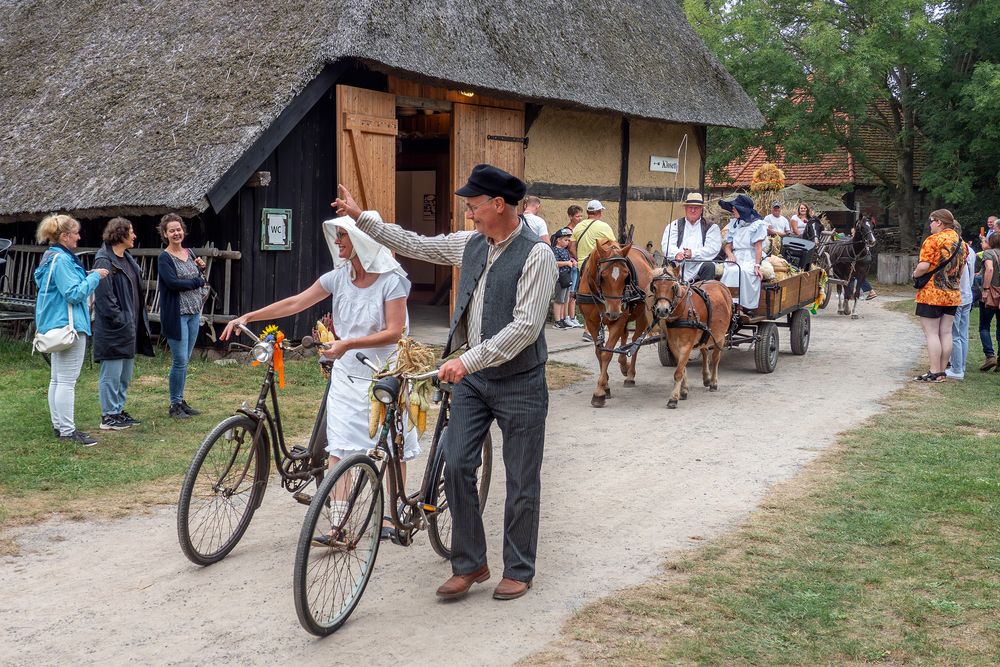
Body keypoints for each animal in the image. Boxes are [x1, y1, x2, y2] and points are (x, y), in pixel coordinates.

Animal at [580, 239, 656, 408]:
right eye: (602, 275)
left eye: (626, 275)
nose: (614, 312)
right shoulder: (592, 322)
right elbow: (599, 352)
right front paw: (606, 386)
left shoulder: (618, 320)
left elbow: (607, 354)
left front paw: (599, 392)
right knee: (625, 336)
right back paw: (623, 365)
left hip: (641, 315)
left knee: (635, 342)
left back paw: (630, 375)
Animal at [648, 264, 736, 410]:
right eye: (654, 287)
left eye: (673, 287)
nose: (662, 310)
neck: (683, 310)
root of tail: (719, 284)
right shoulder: (673, 345)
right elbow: (682, 368)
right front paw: (683, 391)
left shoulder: (686, 345)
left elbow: (679, 371)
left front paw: (673, 398)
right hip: (705, 334)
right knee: (704, 351)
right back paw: (706, 377)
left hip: (720, 336)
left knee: (715, 358)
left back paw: (713, 382)